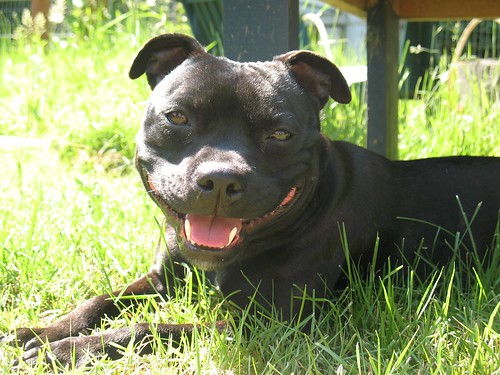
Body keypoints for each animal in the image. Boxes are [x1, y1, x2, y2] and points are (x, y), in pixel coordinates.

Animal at [7, 33, 500, 368]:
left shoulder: (268, 321)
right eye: (177, 117)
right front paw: (44, 330)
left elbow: (154, 328)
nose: (221, 179)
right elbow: (99, 300)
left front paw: (68, 350)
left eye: (280, 134)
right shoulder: (164, 279)